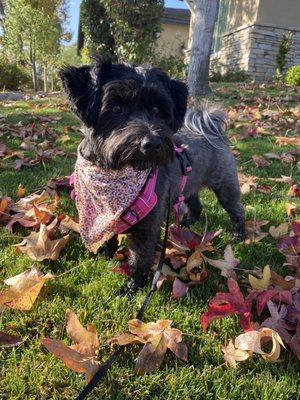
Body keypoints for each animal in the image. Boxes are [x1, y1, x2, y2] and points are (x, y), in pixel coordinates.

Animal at [59, 55, 245, 294]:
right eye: (116, 108)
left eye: (158, 110)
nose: (152, 143)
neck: (115, 173)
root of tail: (212, 130)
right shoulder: (102, 217)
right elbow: (107, 236)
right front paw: (105, 255)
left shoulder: (147, 227)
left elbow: (140, 259)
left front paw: (132, 289)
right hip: (188, 187)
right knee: (196, 204)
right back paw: (188, 223)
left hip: (226, 187)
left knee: (237, 210)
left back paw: (240, 235)